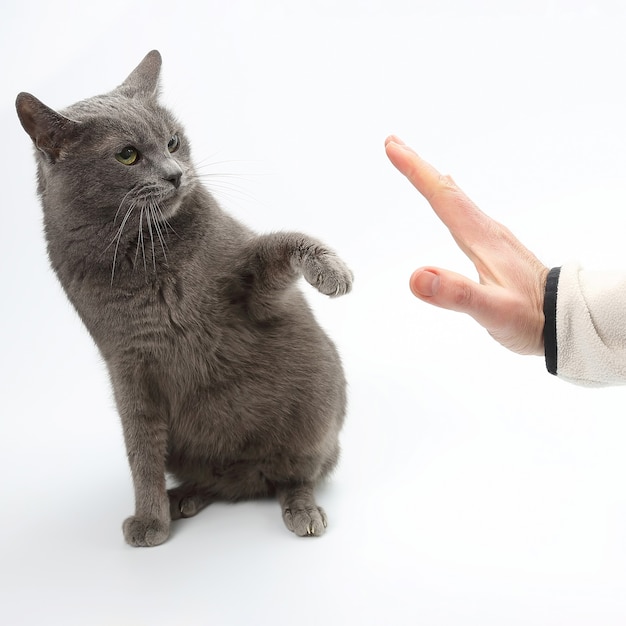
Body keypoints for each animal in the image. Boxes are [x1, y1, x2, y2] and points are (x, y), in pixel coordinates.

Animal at [15, 51, 352, 544]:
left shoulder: (251, 289)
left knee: (299, 474)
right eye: (128, 155)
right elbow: (142, 451)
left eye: (173, 142)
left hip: (318, 406)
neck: (143, 251)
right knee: (209, 478)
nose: (176, 175)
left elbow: (281, 245)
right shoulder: (128, 365)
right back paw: (185, 498)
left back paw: (302, 511)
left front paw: (333, 273)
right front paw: (150, 520)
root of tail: (245, 478)